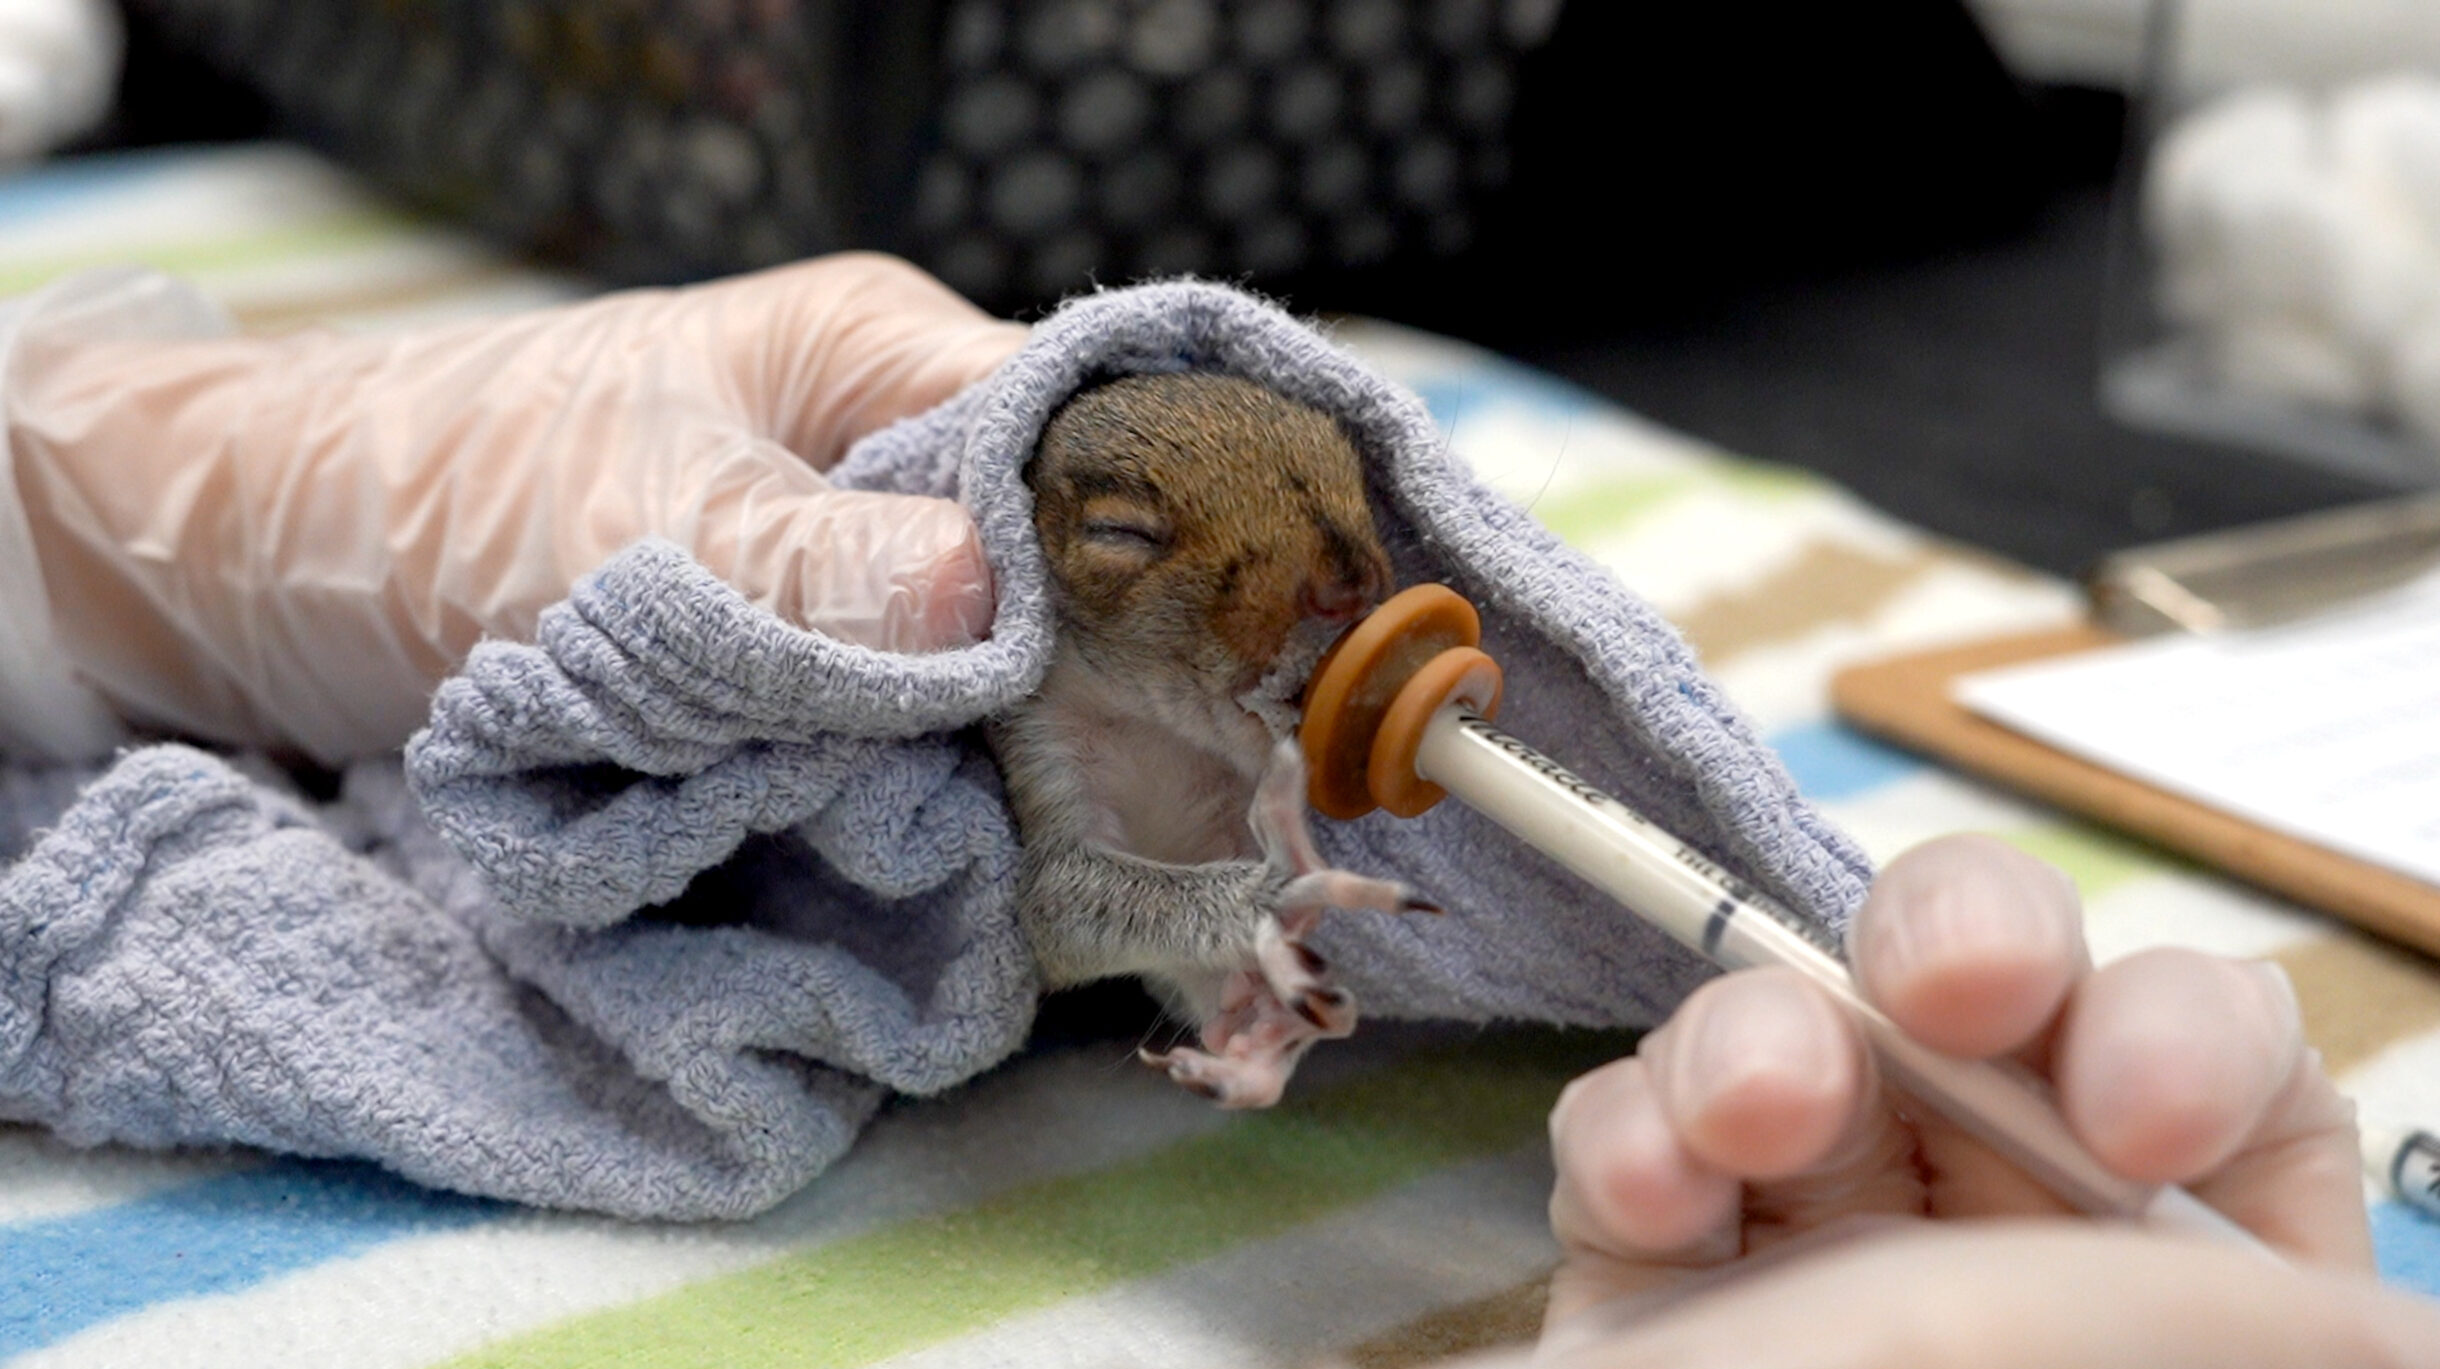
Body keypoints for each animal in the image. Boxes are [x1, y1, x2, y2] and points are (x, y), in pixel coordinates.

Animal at [990, 368, 1434, 1103]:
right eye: (1117, 530)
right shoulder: (1038, 748)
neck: (1156, 728)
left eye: (1355, 474)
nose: (1348, 586)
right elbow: (1061, 902)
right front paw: (1274, 898)